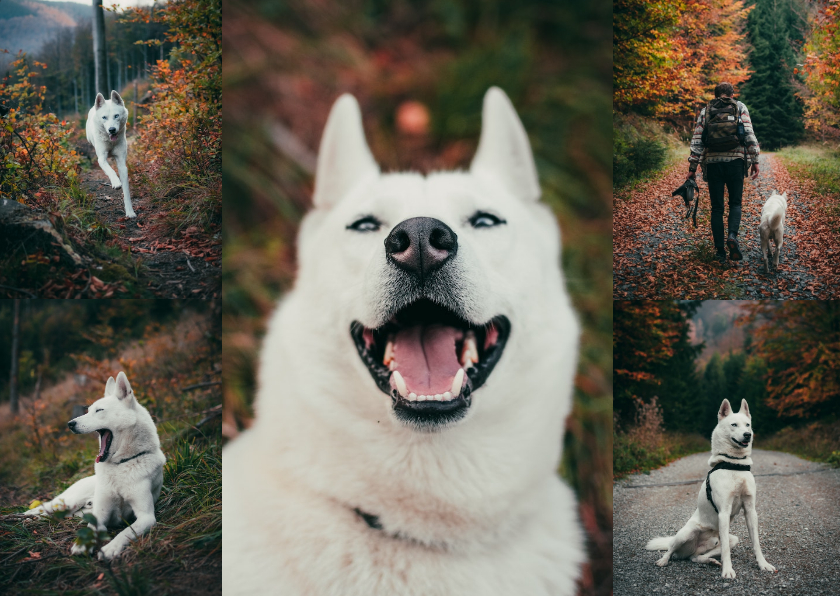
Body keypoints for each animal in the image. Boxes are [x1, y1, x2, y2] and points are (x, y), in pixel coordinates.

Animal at [25, 370, 167, 560]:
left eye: (99, 410)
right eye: (88, 410)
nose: (70, 424)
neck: (120, 465)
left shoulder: (146, 516)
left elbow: (127, 531)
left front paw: (110, 548)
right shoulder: (100, 513)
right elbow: (91, 530)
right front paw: (81, 545)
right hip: (67, 503)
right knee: (42, 508)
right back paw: (25, 516)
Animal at [85, 89, 136, 218]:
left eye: (116, 116)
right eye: (104, 117)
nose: (111, 130)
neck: (111, 141)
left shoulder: (122, 163)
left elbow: (126, 192)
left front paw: (130, 212)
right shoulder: (101, 159)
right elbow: (110, 170)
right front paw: (116, 182)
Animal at [648, 400, 776, 576]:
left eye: (748, 425)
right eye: (734, 424)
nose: (747, 435)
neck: (734, 464)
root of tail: (694, 548)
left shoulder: (750, 511)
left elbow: (756, 542)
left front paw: (763, 564)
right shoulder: (724, 512)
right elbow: (726, 550)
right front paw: (728, 571)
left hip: (732, 539)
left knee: (696, 557)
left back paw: (709, 561)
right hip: (685, 534)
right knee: (670, 549)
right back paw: (663, 560)